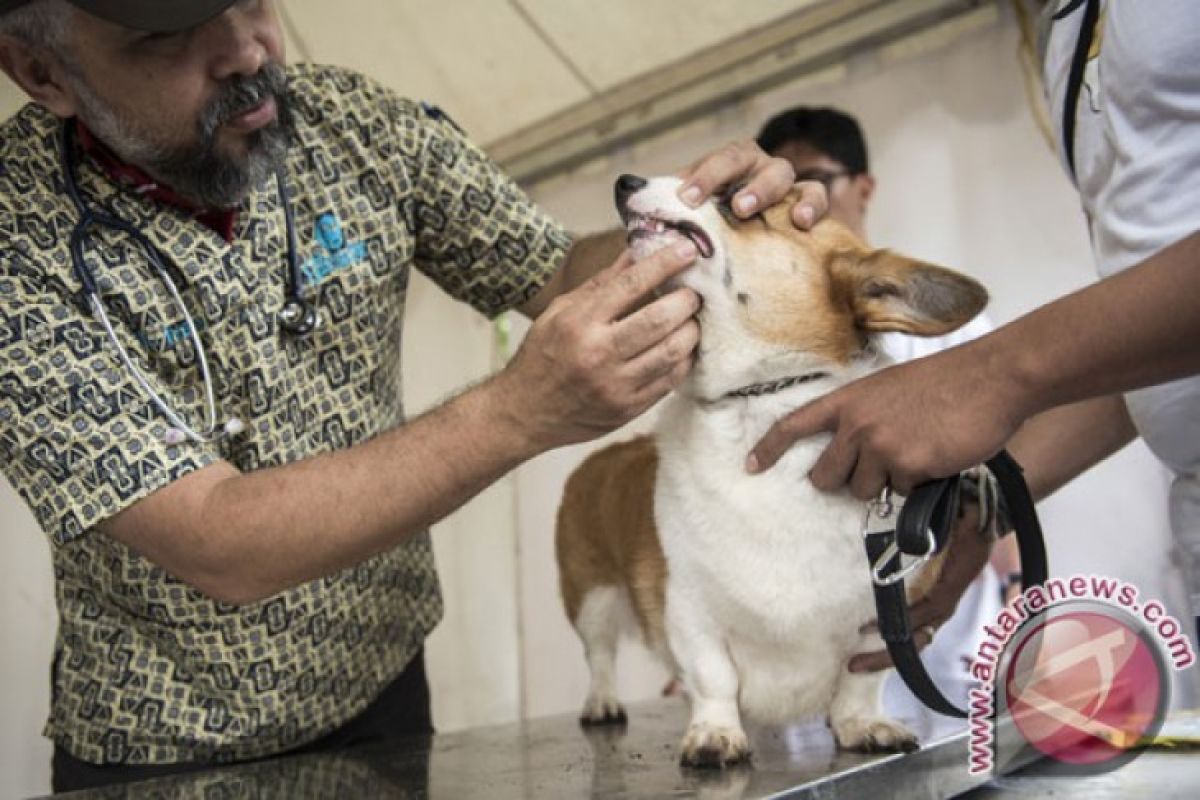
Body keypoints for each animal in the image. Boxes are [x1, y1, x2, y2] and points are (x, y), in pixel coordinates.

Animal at [552, 175, 984, 767]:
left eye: (737, 201)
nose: (626, 181)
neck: (759, 400)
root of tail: (602, 457)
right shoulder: (689, 609)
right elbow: (713, 678)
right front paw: (714, 734)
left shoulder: (886, 615)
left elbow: (859, 682)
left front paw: (862, 725)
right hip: (590, 593)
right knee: (598, 655)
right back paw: (602, 703)